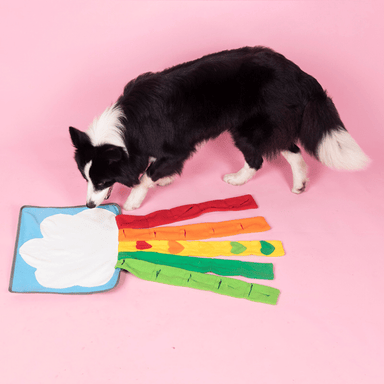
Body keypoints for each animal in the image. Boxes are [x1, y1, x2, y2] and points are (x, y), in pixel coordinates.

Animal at [69, 47, 368, 212]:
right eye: (86, 179)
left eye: (103, 182)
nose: (89, 206)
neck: (128, 126)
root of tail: (301, 74)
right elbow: (156, 169)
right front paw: (165, 178)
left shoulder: (176, 147)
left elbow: (147, 175)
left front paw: (134, 200)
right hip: (269, 124)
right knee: (290, 148)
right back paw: (299, 184)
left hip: (248, 128)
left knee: (258, 158)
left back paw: (236, 180)